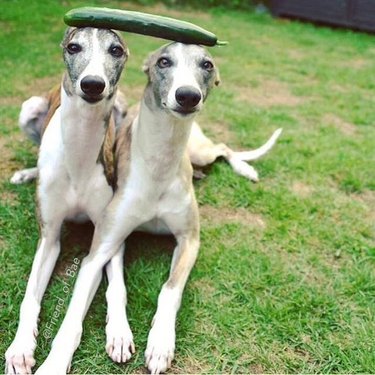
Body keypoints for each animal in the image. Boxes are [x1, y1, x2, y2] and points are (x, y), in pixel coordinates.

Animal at [4, 27, 131, 375]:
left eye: (116, 50)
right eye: (74, 47)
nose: (93, 84)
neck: (79, 153)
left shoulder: (105, 238)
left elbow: (92, 304)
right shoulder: (49, 237)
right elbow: (29, 298)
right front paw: (19, 349)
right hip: (29, 109)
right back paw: (26, 174)